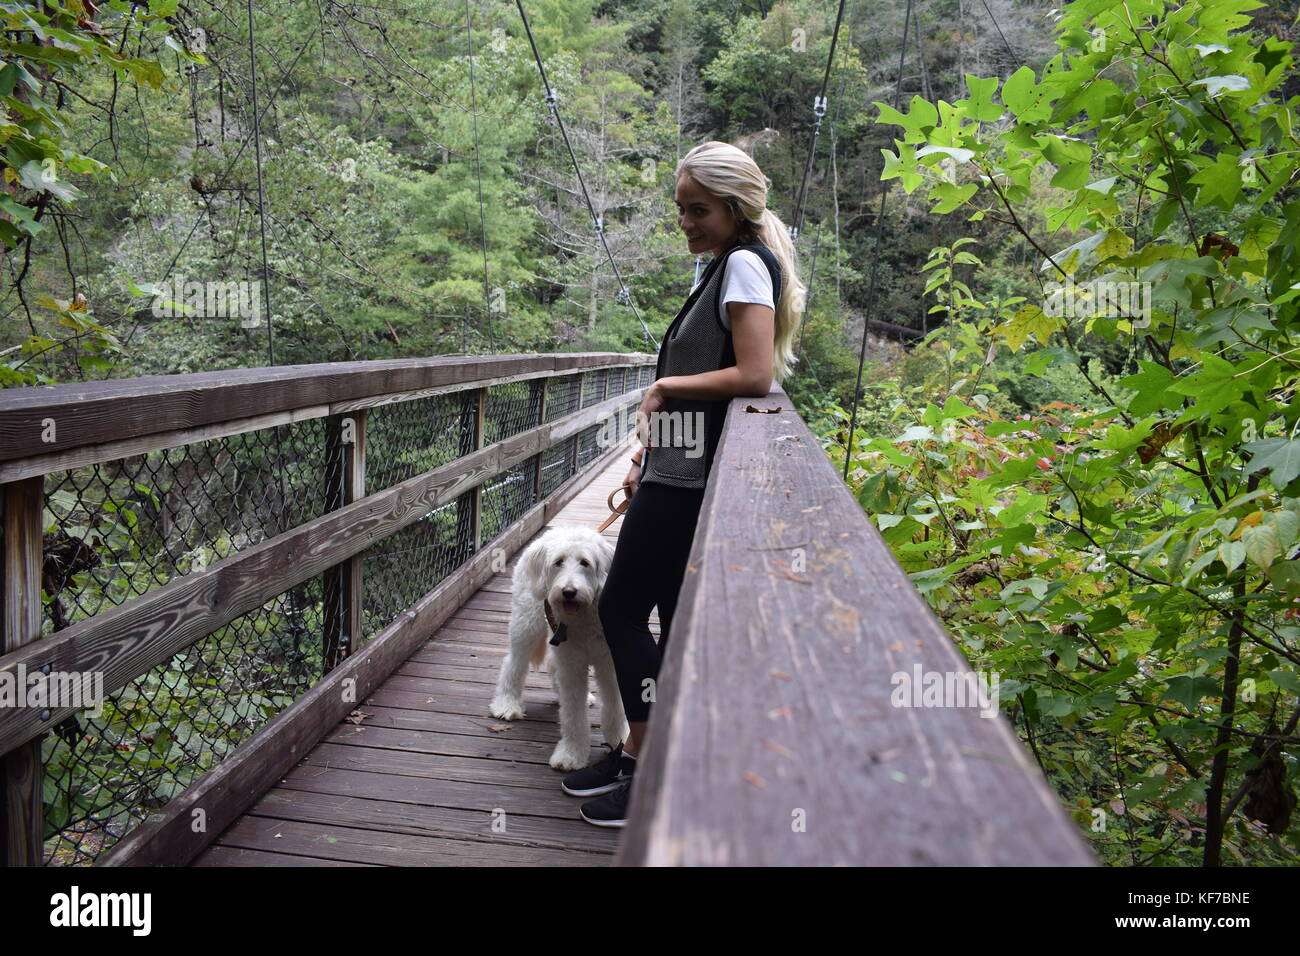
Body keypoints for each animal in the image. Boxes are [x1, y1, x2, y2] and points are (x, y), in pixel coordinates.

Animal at [488, 528, 629, 775]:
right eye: (558, 562)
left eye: (585, 563)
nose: (568, 592)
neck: (585, 618)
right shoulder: (572, 666)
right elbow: (572, 715)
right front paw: (571, 756)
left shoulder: (607, 663)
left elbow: (615, 706)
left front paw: (618, 740)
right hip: (527, 624)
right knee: (513, 664)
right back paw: (507, 704)